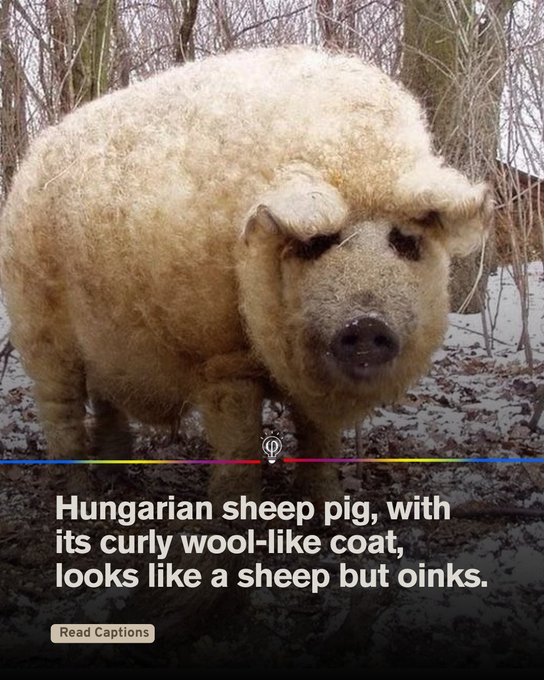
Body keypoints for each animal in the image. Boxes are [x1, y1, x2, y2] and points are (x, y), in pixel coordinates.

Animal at [0, 46, 489, 501]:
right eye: (316, 243)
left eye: (405, 242)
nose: (365, 323)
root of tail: (32, 160)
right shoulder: (221, 354)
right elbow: (239, 443)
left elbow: (319, 439)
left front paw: (329, 509)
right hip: (40, 329)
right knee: (61, 410)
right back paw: (77, 495)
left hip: (103, 343)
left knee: (106, 403)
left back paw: (116, 483)